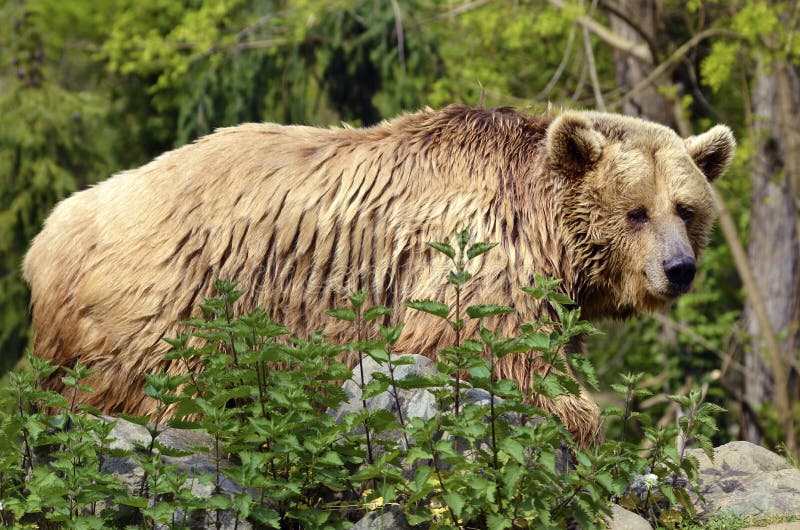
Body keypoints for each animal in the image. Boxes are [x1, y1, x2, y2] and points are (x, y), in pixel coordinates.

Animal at [23, 105, 736, 444]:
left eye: (686, 208)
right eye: (636, 210)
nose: (679, 268)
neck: (543, 227)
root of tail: (48, 237)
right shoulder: (475, 252)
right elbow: (482, 341)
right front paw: (577, 413)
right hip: (174, 297)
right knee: (159, 388)